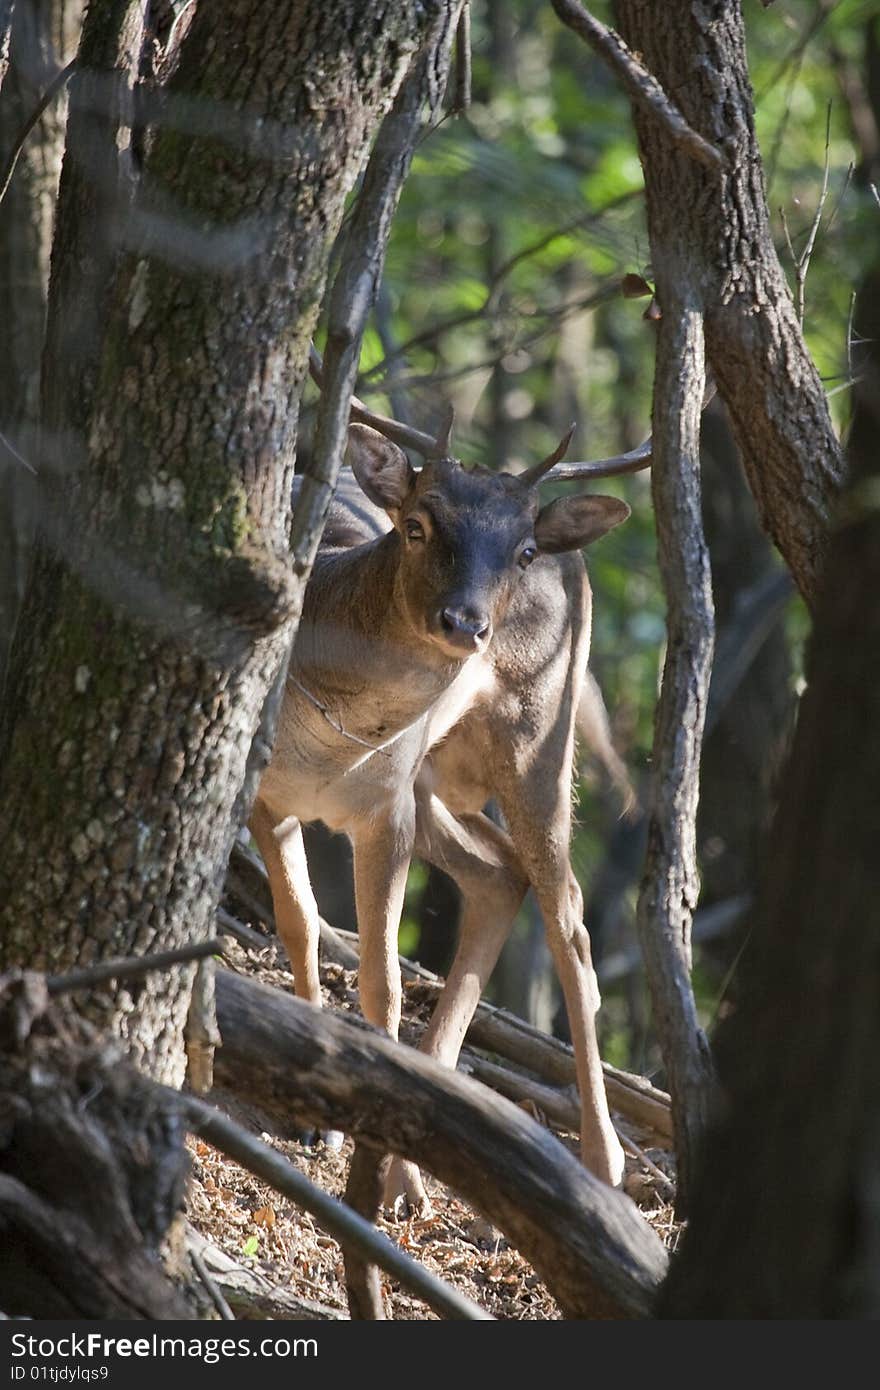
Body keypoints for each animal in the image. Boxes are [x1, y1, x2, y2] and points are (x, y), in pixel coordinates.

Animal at [250, 386, 647, 1212]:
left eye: (521, 551)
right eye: (417, 524)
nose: (466, 623)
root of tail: (578, 559)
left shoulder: (387, 808)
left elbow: (384, 980)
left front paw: (358, 1146)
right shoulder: (268, 789)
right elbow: (299, 926)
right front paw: (315, 1121)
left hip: (540, 735)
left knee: (570, 920)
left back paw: (601, 1163)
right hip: (439, 774)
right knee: (499, 874)